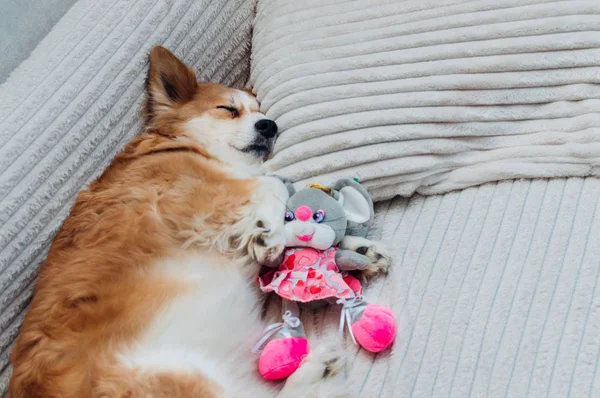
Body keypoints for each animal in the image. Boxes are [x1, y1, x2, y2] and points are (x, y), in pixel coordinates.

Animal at [8, 45, 390, 394]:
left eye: (261, 112)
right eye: (229, 109)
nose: (270, 125)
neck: (188, 146)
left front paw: (358, 249)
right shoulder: (182, 198)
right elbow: (271, 185)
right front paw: (267, 233)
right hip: (177, 378)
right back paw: (317, 370)